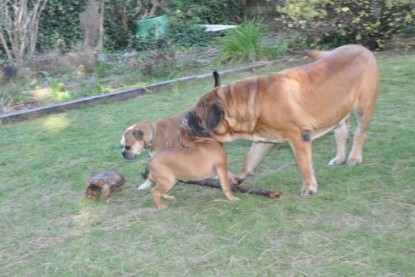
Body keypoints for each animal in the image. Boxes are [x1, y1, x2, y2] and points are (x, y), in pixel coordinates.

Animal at [187, 44, 382, 194]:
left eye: (198, 117)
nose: (187, 117)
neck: (250, 101)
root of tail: (361, 47)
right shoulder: (263, 140)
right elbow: (250, 161)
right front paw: (237, 178)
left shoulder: (298, 137)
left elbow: (303, 164)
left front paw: (309, 188)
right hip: (338, 110)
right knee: (341, 133)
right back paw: (339, 158)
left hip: (364, 106)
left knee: (360, 133)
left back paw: (354, 158)